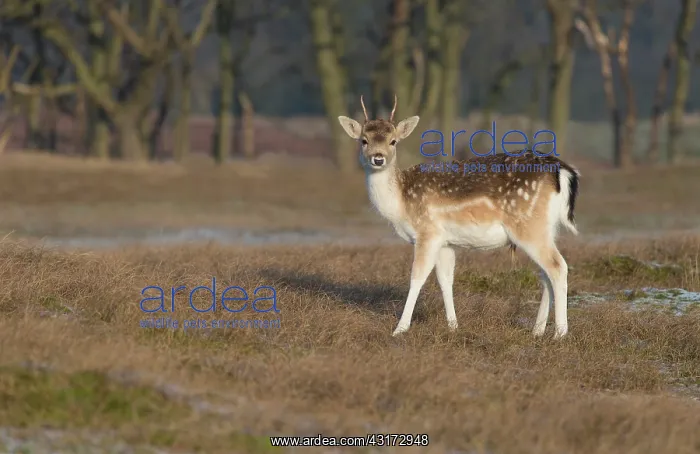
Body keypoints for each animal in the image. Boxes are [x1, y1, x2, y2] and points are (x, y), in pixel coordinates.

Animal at [337, 96, 580, 339]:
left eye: (393, 141)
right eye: (364, 140)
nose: (378, 159)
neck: (401, 204)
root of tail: (563, 171)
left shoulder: (428, 233)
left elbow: (417, 277)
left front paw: (400, 329)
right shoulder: (446, 242)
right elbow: (446, 280)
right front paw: (453, 326)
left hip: (528, 226)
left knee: (558, 267)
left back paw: (560, 333)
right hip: (547, 228)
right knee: (546, 274)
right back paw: (537, 330)